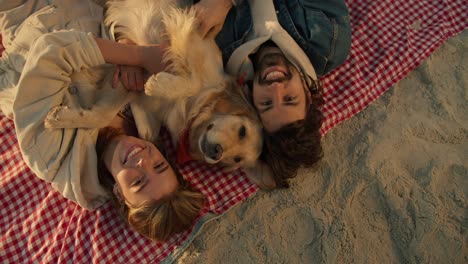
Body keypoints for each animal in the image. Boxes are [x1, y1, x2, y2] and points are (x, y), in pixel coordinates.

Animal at [43, 0, 274, 186]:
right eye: (242, 131)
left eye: (237, 160)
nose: (216, 153)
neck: (191, 107)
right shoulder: (189, 33)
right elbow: (191, 80)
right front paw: (159, 84)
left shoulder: (135, 91)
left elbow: (118, 120)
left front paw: (61, 118)